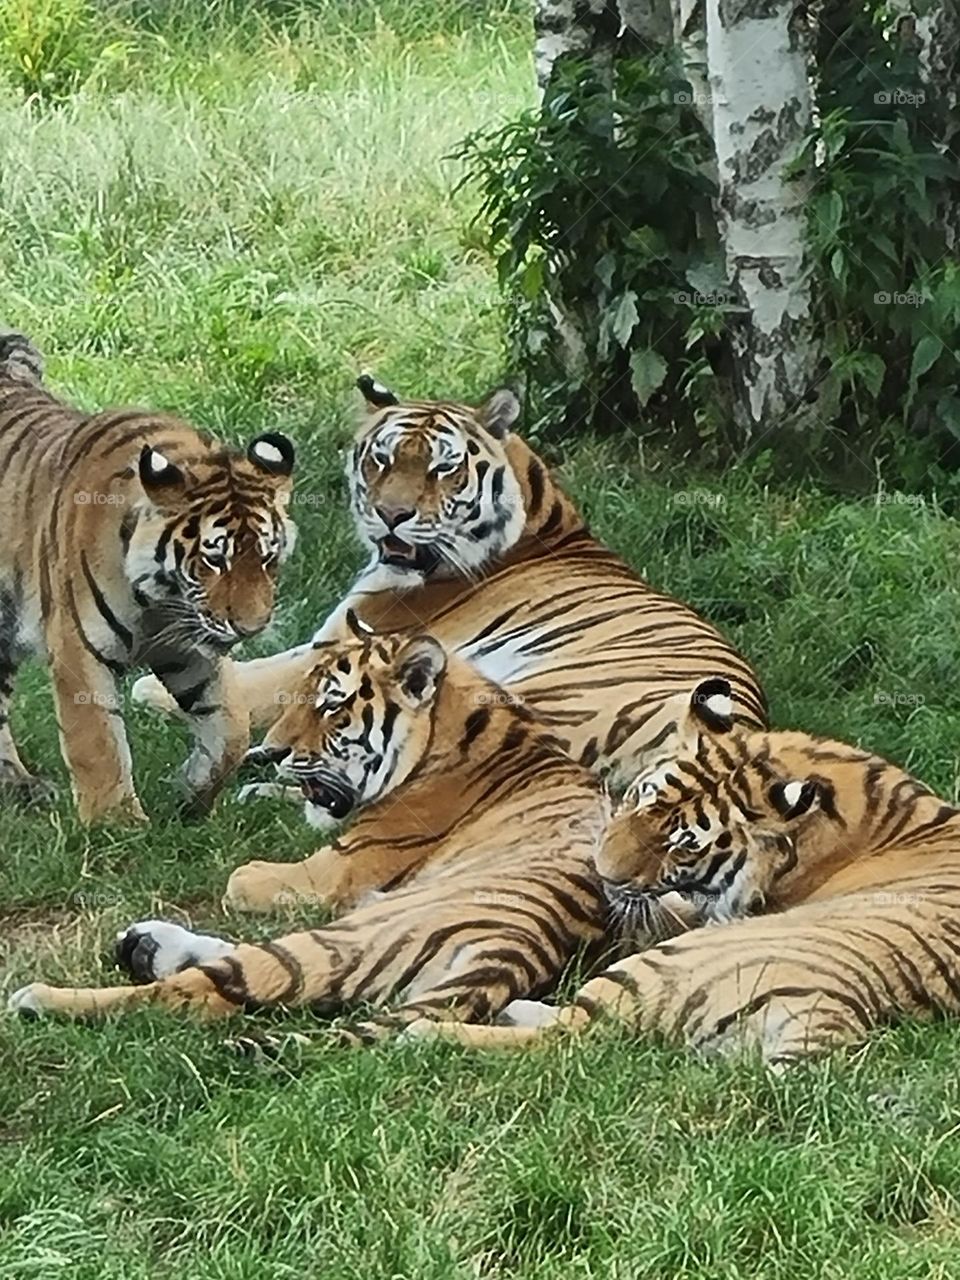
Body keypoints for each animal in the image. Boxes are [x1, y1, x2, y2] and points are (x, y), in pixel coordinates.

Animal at [0, 329, 296, 824]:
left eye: (268, 558)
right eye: (215, 559)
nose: (251, 628)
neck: (161, 599)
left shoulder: (187, 650)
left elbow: (231, 729)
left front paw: (193, 795)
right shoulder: (79, 650)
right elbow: (97, 743)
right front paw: (117, 825)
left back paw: (18, 783)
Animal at [7, 617, 612, 1039]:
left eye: (331, 708)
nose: (271, 751)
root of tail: (522, 946)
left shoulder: (334, 873)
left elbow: (239, 879)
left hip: (355, 930)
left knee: (200, 994)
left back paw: (40, 998)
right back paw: (144, 945)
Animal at [132, 374, 767, 833]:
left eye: (443, 468)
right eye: (381, 460)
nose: (391, 515)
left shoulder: (339, 641)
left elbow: (255, 676)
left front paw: (152, 689)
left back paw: (260, 788)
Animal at [405, 677, 960, 1066]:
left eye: (682, 845)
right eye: (639, 796)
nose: (603, 873)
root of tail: (833, 1010)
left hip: (667, 963)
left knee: (573, 1034)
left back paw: (428, 1033)